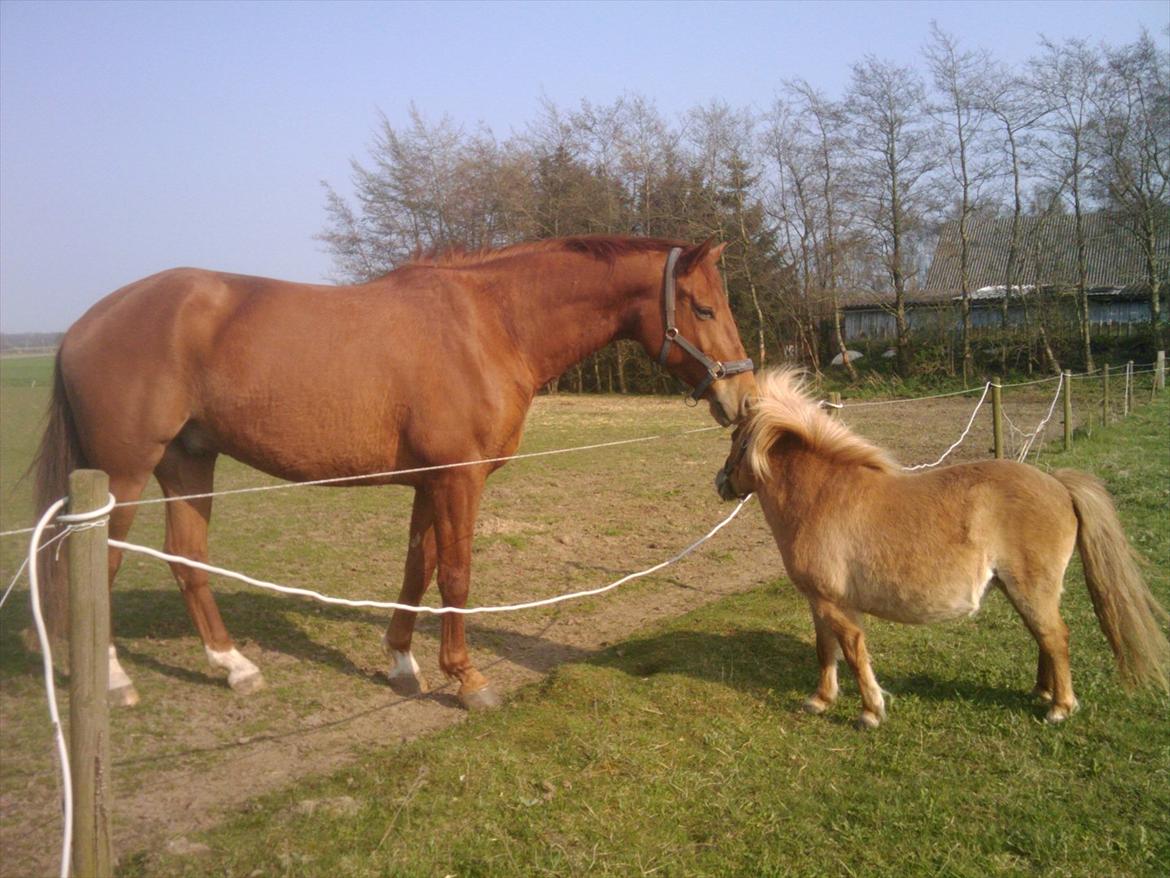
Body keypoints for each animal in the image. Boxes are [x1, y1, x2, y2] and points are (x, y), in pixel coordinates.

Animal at [36, 237, 758, 711]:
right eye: (701, 308)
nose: (742, 398)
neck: (490, 323)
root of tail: (80, 326)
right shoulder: (459, 480)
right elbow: (456, 575)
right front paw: (468, 679)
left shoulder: (430, 482)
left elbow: (418, 567)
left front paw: (404, 666)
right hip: (123, 474)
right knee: (96, 564)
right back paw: (114, 682)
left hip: (188, 460)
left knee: (187, 559)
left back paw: (234, 667)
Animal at [711, 369, 1170, 730]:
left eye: (735, 438)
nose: (721, 482)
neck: (821, 497)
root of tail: (1057, 484)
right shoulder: (821, 602)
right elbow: (827, 650)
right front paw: (820, 700)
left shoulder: (835, 605)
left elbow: (854, 651)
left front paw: (870, 712)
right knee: (1043, 637)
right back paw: (1042, 692)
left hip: (1031, 588)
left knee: (1055, 637)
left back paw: (1059, 707)